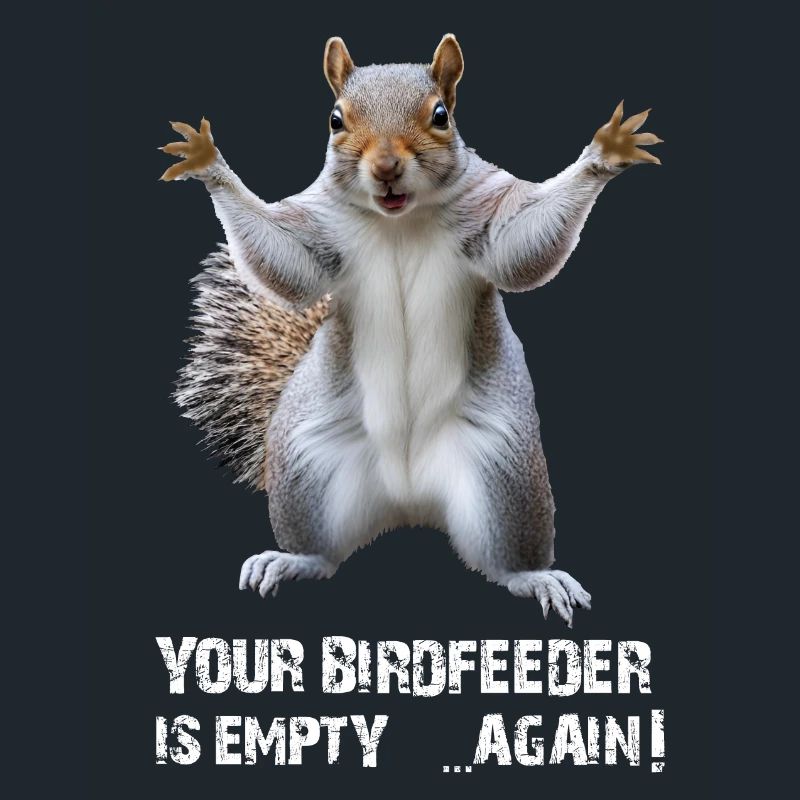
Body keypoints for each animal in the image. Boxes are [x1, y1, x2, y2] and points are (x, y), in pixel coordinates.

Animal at [162, 34, 661, 626]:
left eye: (441, 115)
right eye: (335, 119)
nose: (385, 167)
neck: (399, 219)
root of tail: (407, 500)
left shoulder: (489, 212)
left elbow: (521, 247)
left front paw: (607, 153)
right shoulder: (320, 229)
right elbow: (291, 263)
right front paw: (206, 162)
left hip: (506, 475)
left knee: (504, 557)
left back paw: (534, 576)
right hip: (307, 466)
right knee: (320, 549)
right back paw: (291, 560)